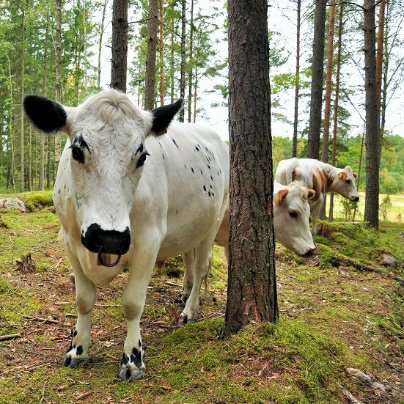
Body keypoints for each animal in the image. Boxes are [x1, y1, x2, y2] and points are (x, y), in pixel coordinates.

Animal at [23, 89, 229, 382]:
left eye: (141, 156)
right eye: (77, 151)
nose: (109, 237)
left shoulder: (148, 242)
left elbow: (132, 303)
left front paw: (132, 359)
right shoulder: (70, 241)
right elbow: (83, 300)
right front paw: (78, 349)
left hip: (214, 221)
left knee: (202, 267)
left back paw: (190, 310)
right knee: (189, 260)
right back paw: (185, 292)